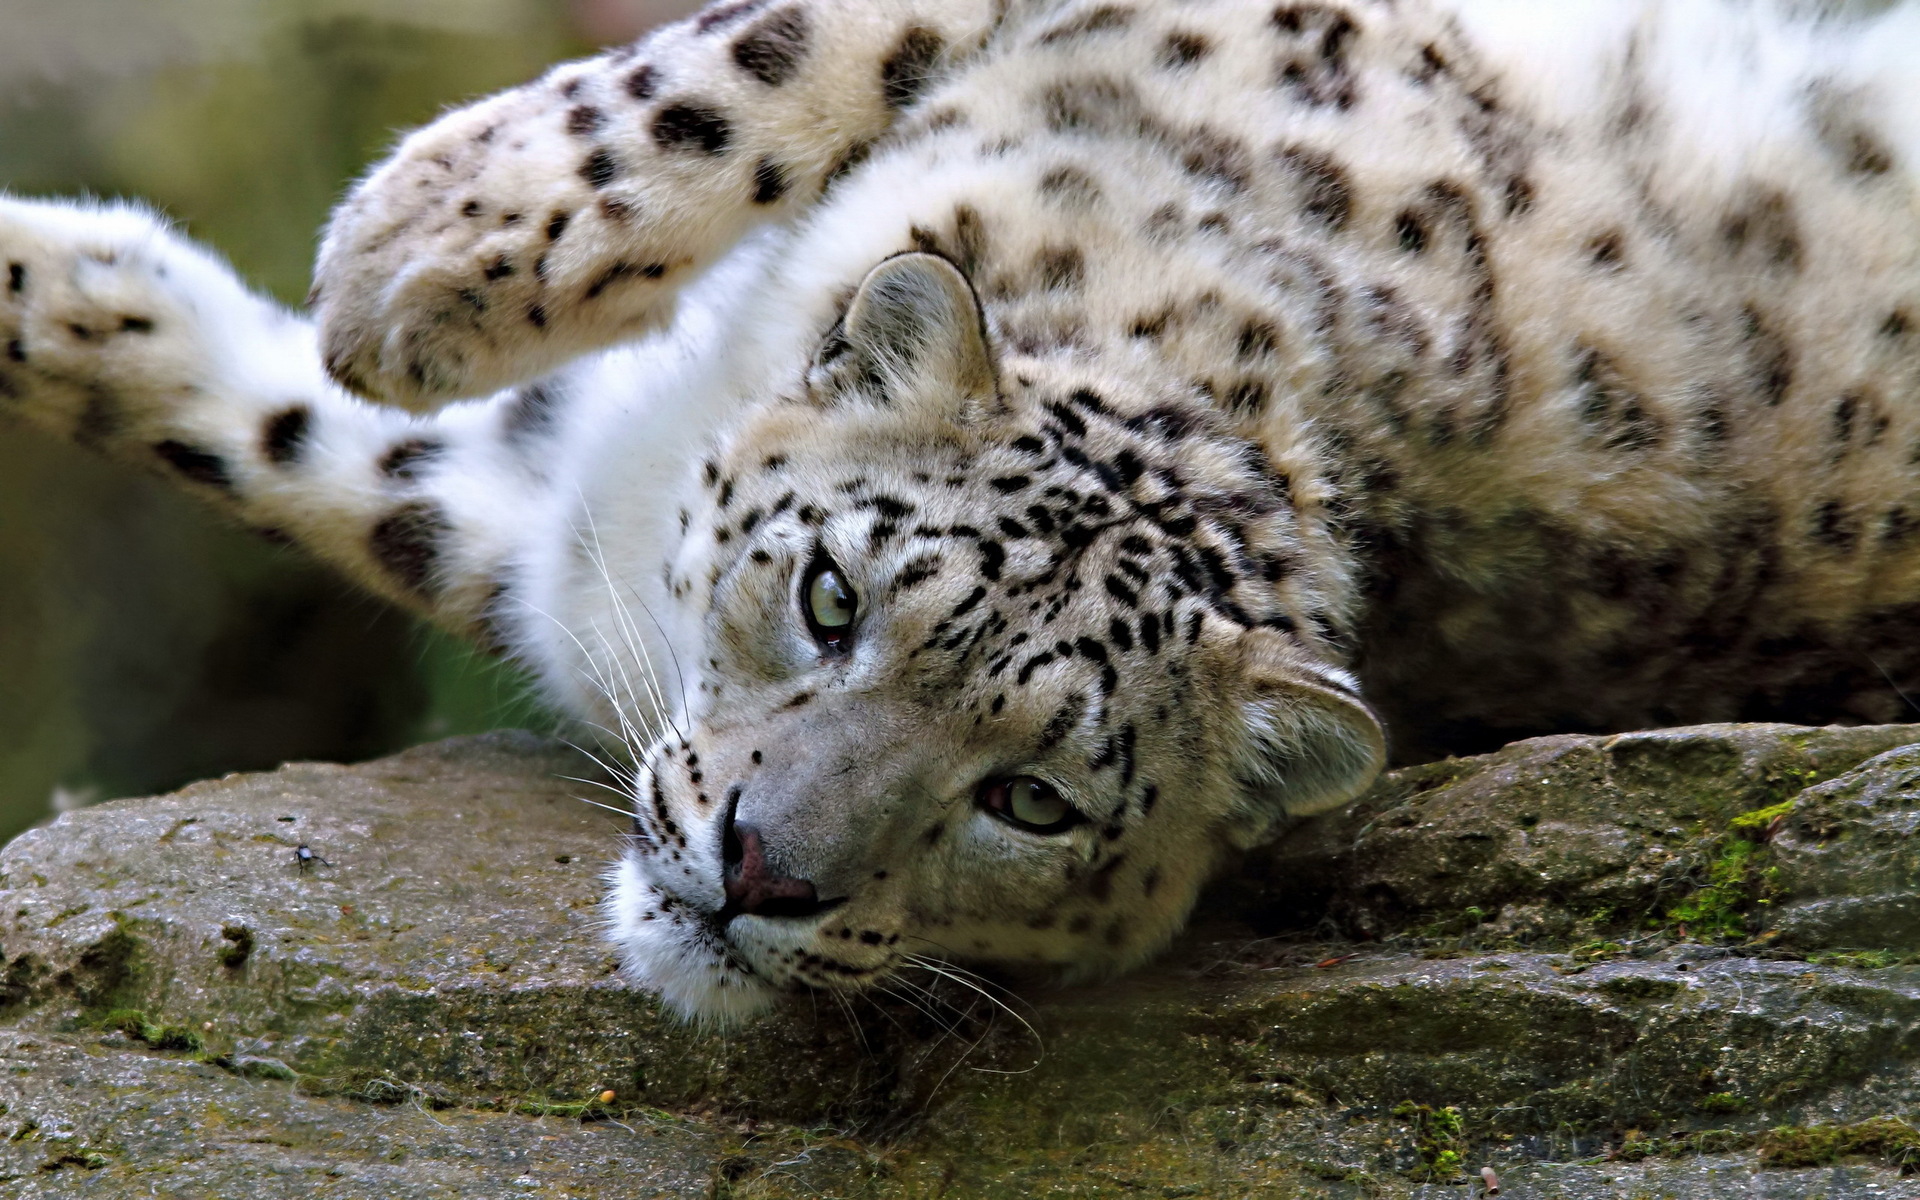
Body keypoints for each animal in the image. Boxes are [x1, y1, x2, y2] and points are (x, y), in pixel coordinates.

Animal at [3, 0, 1920, 1021]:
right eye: (832, 599)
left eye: (1034, 802)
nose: (755, 875)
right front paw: (416, 245)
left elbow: (369, 481)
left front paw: (415, 252)